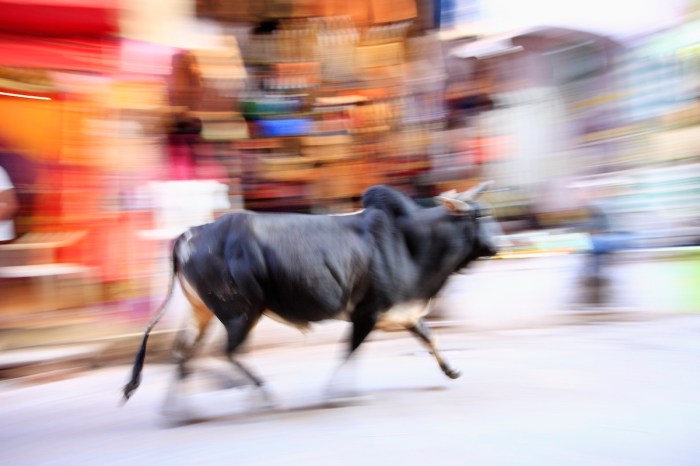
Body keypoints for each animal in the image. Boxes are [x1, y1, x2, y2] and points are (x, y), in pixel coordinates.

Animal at [122, 181, 499, 406]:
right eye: (478, 216)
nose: (498, 245)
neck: (410, 244)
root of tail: (189, 234)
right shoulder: (366, 313)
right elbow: (349, 353)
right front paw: (336, 393)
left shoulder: (403, 314)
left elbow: (429, 337)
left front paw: (451, 371)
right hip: (241, 313)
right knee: (227, 352)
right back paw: (264, 394)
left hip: (202, 312)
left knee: (183, 353)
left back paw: (179, 411)